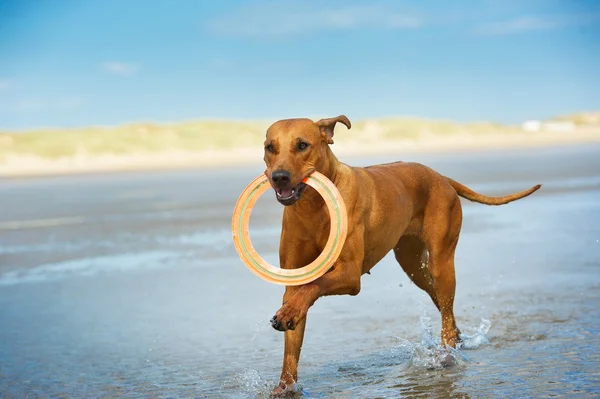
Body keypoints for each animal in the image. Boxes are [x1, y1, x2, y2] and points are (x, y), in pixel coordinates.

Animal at [260, 116, 540, 396]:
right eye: (270, 147)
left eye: (302, 145)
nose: (279, 177)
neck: (314, 207)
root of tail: (441, 177)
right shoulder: (294, 280)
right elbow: (293, 338)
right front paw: (285, 386)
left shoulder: (350, 275)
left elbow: (313, 286)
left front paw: (288, 313)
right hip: (415, 266)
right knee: (445, 310)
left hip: (441, 262)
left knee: (446, 315)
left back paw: (446, 355)